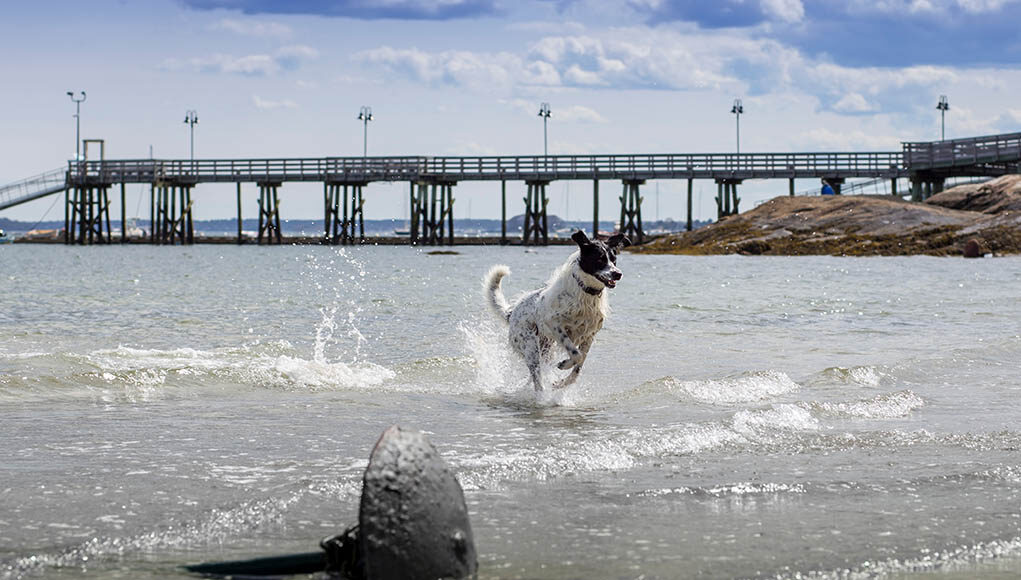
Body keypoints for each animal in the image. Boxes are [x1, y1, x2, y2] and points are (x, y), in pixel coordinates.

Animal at [479, 228, 628, 392]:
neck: (586, 293)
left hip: (545, 348)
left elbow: (579, 366)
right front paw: (564, 365)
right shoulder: (554, 324)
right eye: (600, 259)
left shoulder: (589, 335)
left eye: (614, 260)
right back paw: (540, 394)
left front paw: (561, 383)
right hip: (530, 347)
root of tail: (512, 314)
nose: (618, 274)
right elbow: (576, 354)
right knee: (537, 377)